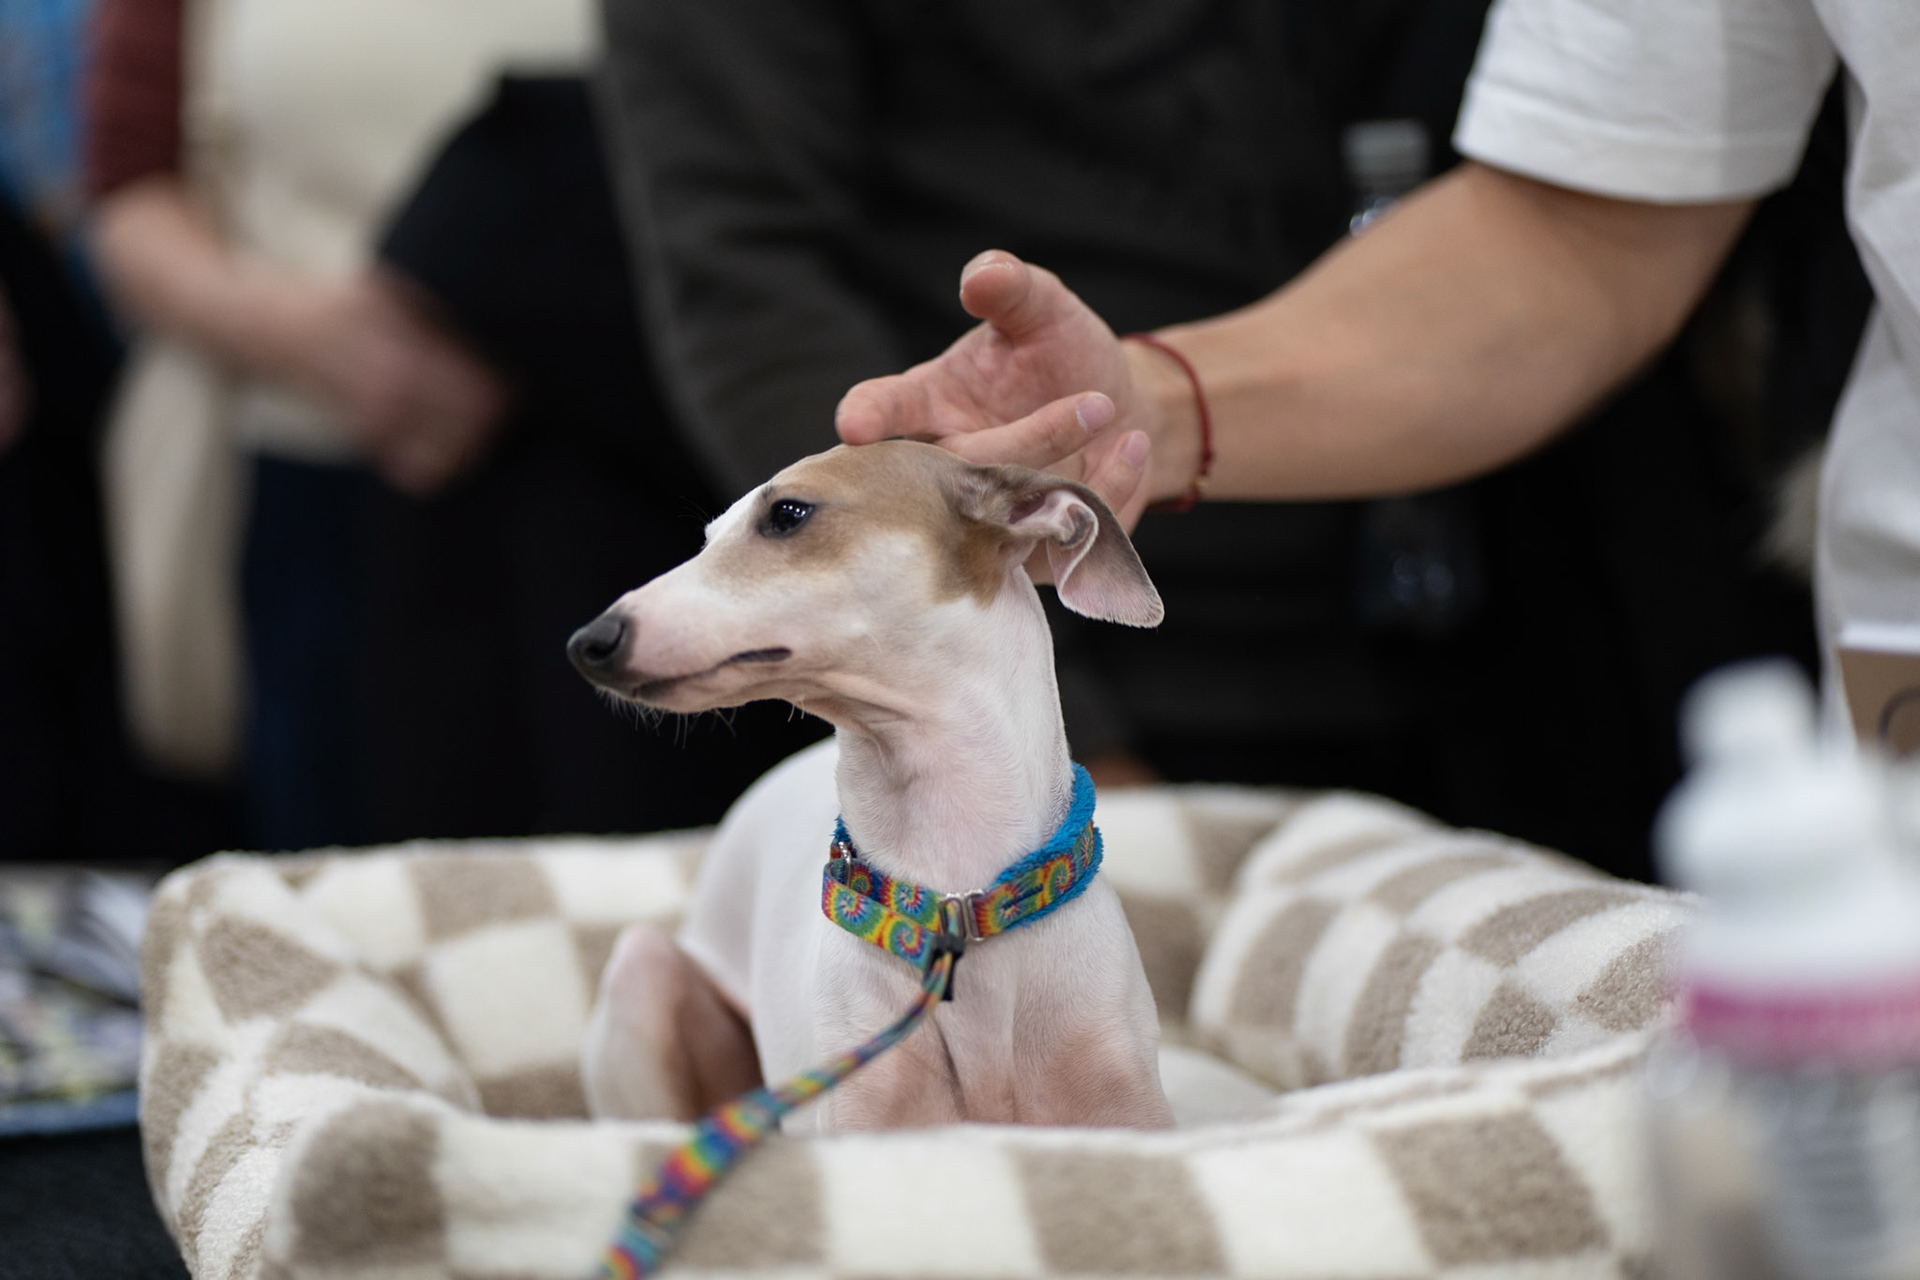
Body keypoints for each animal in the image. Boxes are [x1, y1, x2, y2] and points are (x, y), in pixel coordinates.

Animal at [568, 440, 1174, 1132]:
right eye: (707, 539)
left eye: (788, 512)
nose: (588, 643)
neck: (957, 901)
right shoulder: (860, 1119)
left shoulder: (1130, 1109)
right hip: (643, 971)